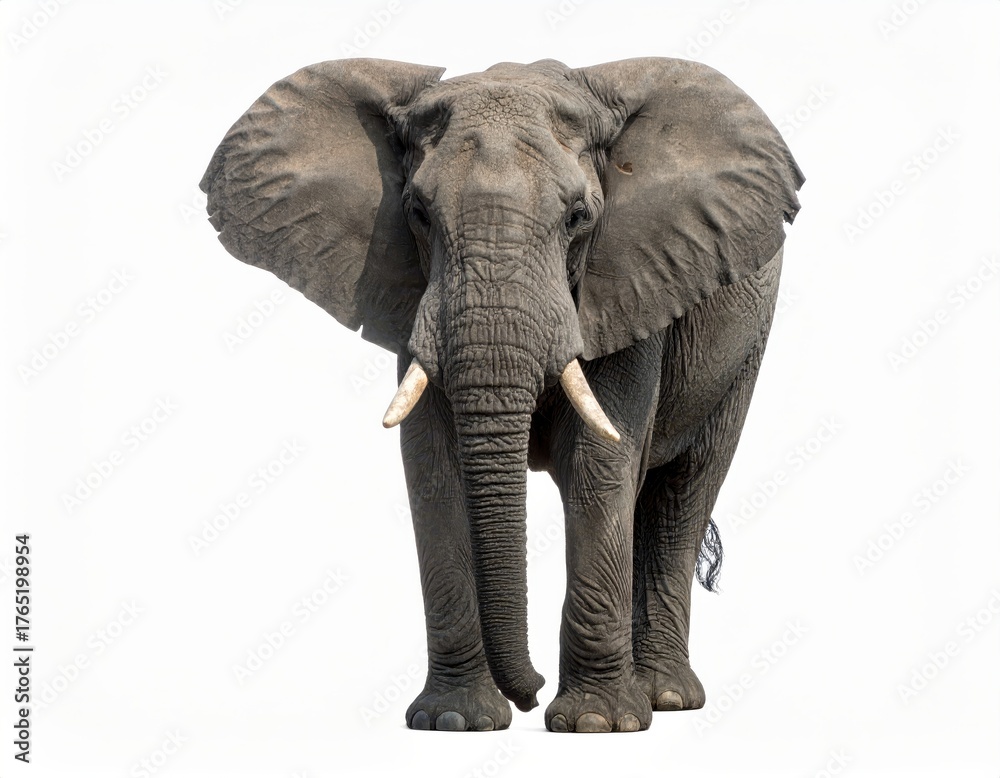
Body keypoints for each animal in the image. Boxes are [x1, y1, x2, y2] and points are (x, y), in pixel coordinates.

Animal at [200, 56, 804, 733]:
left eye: (580, 218)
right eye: (417, 213)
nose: (530, 691)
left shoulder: (628, 282)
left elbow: (600, 464)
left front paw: (595, 725)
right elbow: (434, 471)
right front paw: (454, 720)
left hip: (745, 337)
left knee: (685, 489)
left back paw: (666, 698)